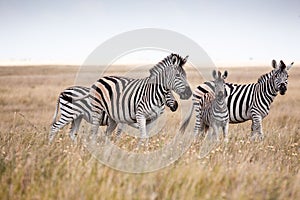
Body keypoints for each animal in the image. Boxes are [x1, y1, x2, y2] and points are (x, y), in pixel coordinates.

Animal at [49, 85, 178, 143]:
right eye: (167, 92)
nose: (176, 106)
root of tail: (63, 91)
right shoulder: (122, 121)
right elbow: (118, 134)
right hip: (68, 113)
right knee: (54, 127)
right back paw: (50, 145)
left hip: (77, 116)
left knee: (71, 133)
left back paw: (76, 148)